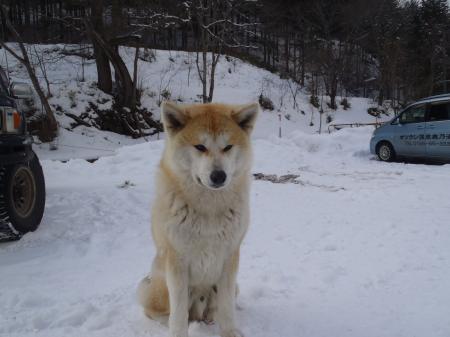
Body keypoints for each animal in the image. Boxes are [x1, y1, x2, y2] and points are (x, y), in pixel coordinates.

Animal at [137, 101, 258, 336]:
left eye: (228, 147)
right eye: (200, 147)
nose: (219, 176)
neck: (209, 208)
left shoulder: (230, 258)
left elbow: (227, 307)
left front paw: (230, 332)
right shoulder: (177, 262)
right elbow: (178, 314)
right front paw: (178, 332)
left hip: (227, 288)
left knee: (216, 308)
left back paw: (211, 320)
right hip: (154, 287)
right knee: (158, 313)